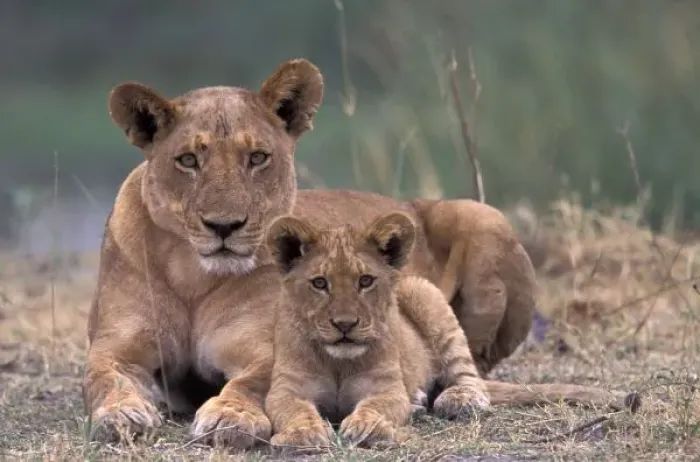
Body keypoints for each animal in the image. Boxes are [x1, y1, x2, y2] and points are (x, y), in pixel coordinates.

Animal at [84, 57, 537, 446]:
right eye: (188, 160)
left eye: (258, 157)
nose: (224, 226)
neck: (191, 275)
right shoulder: (115, 348)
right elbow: (105, 378)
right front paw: (121, 413)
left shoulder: (271, 351)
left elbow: (250, 382)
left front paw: (230, 414)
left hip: (483, 216)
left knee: (469, 364)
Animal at [263, 212, 636, 449]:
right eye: (319, 283)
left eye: (365, 281)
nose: (345, 325)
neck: (338, 362)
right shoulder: (285, 389)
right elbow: (293, 410)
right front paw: (303, 434)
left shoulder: (386, 387)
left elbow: (379, 406)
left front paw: (368, 426)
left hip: (423, 291)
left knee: (472, 381)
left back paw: (457, 400)